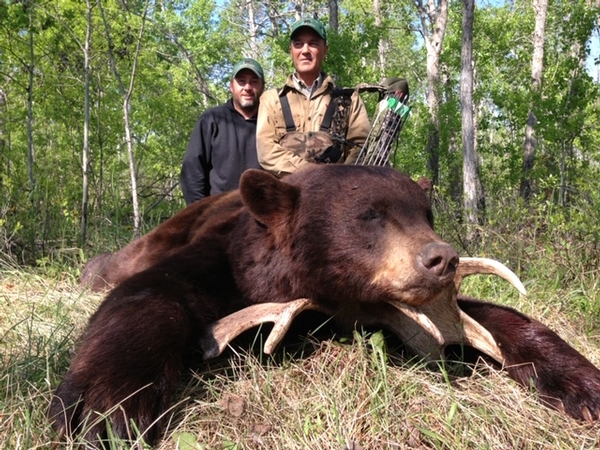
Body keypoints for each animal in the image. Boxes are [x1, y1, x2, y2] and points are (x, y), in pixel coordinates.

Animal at [50, 164, 600, 446]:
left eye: (425, 214)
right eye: (370, 215)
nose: (442, 258)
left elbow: (491, 318)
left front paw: (585, 385)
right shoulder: (222, 260)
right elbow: (150, 295)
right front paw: (105, 409)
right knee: (114, 267)